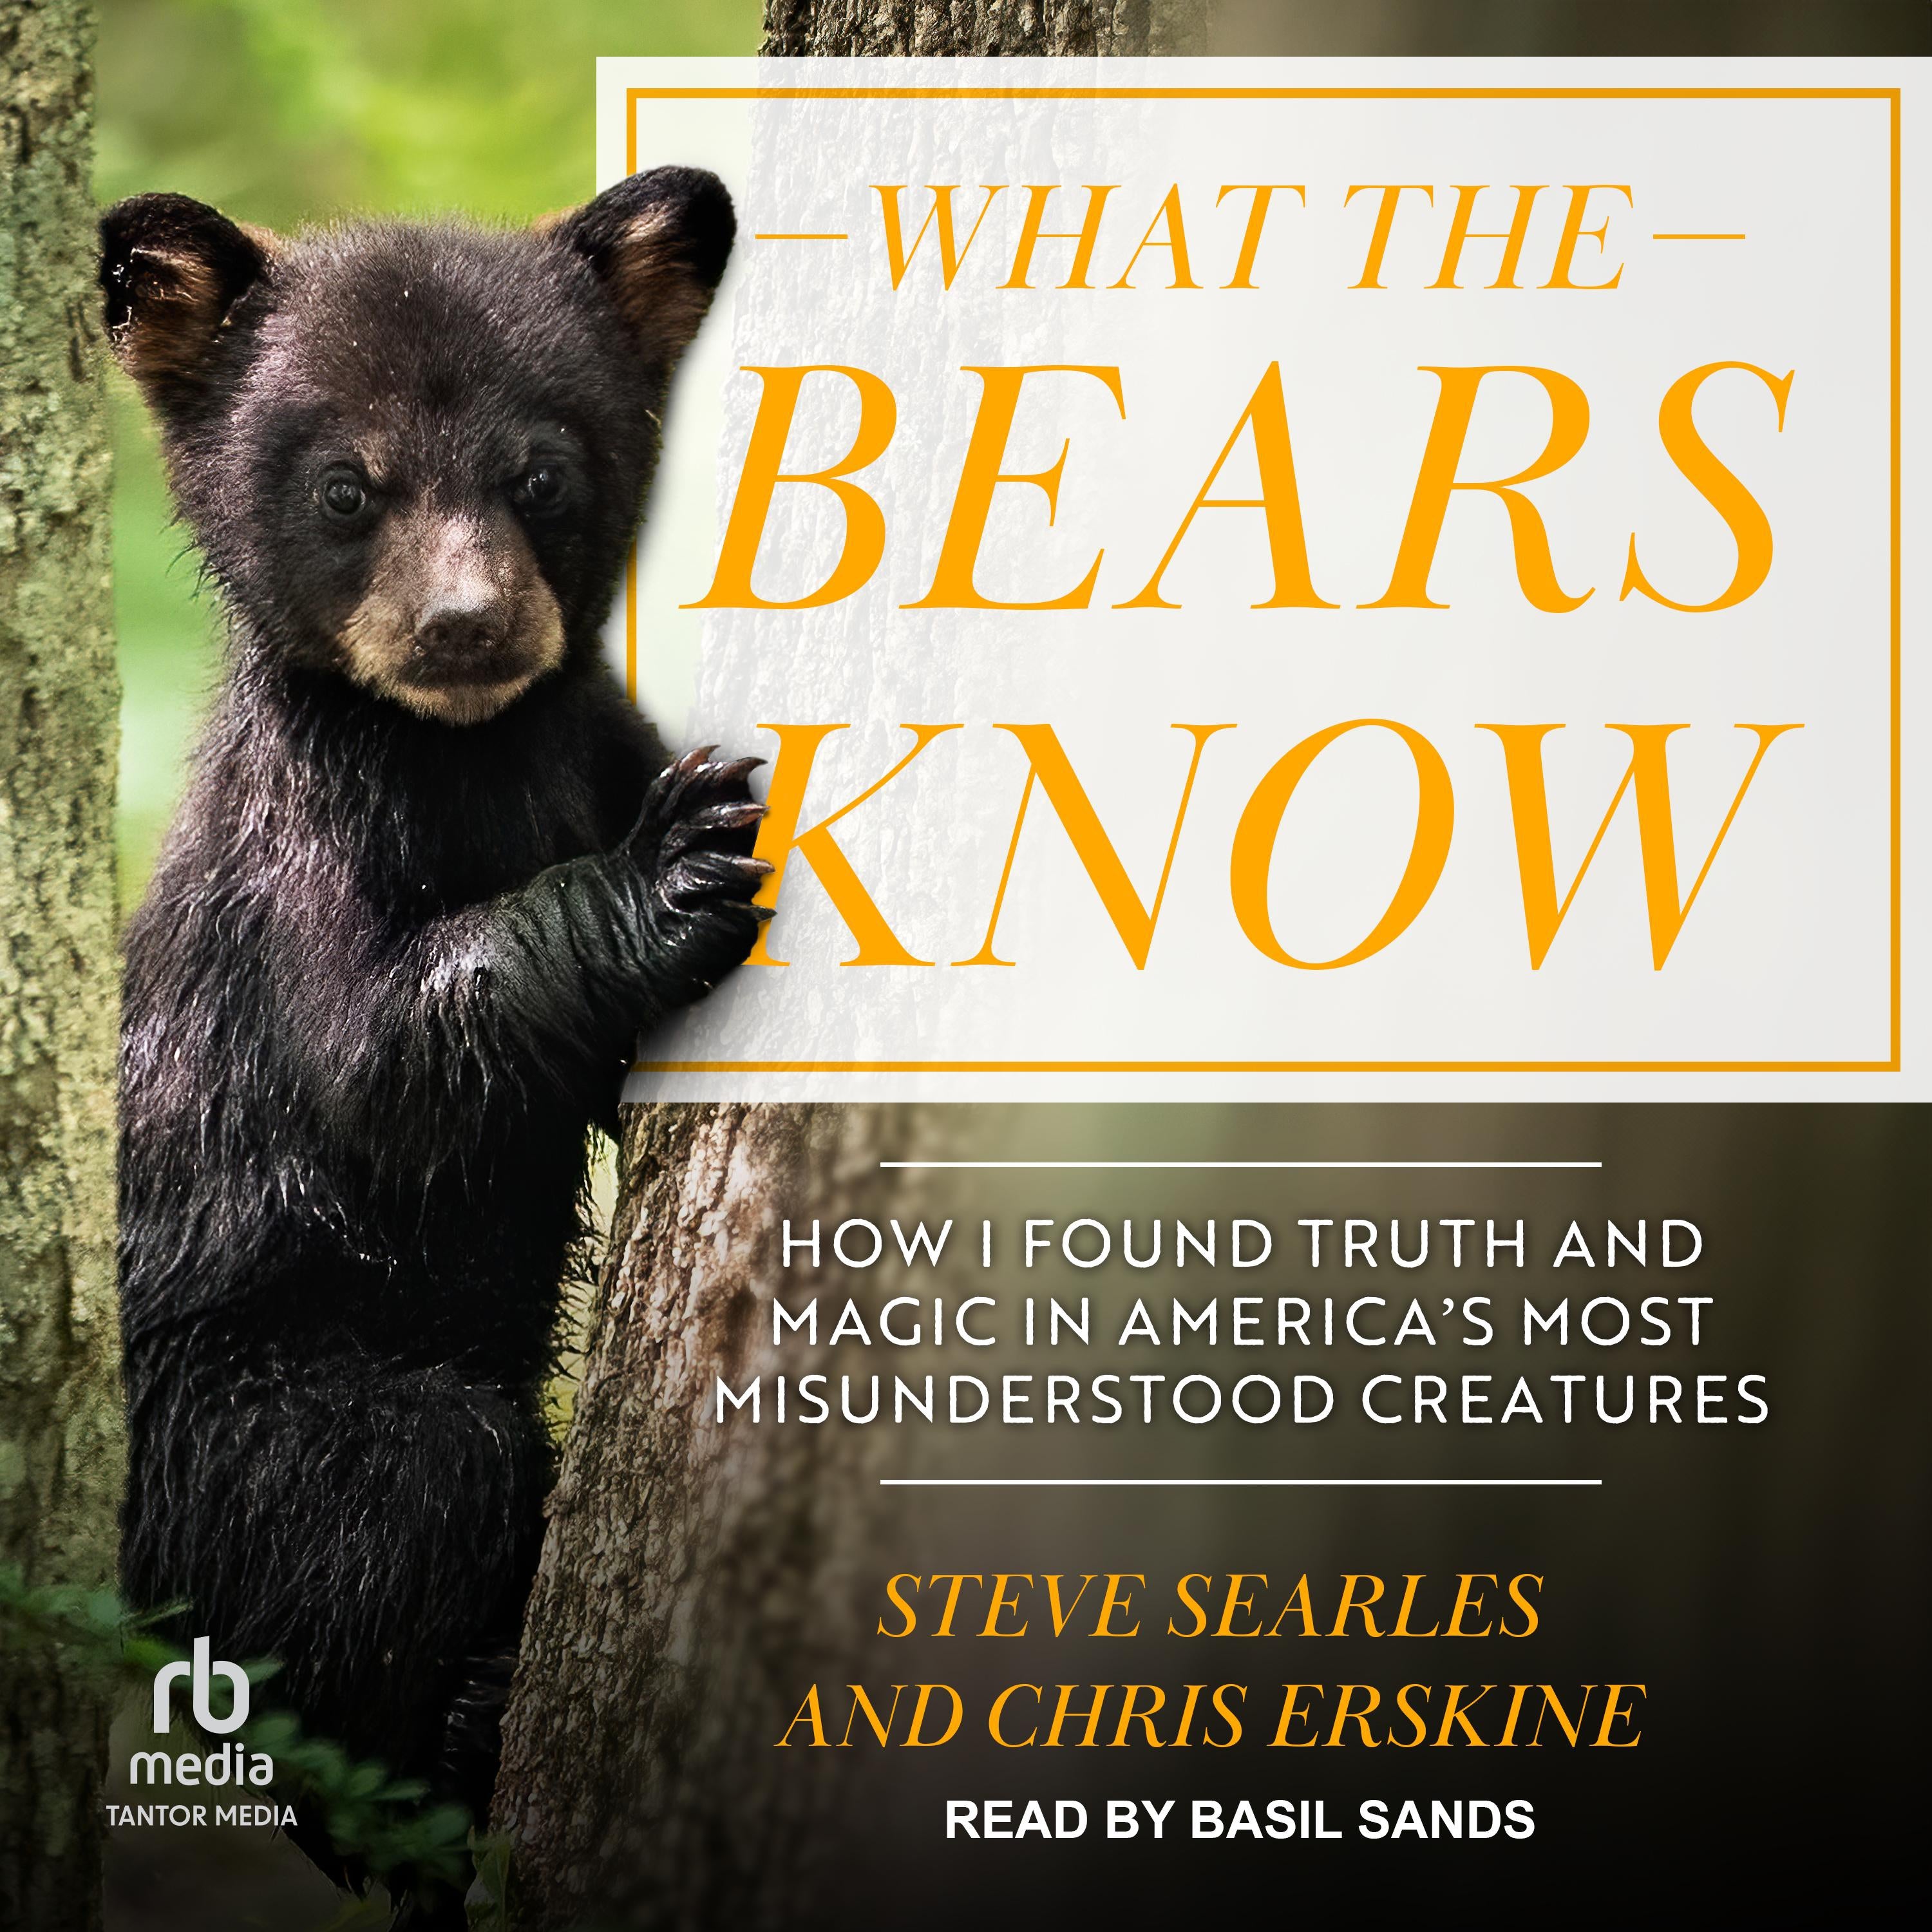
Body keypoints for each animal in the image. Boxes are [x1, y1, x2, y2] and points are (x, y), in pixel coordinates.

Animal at [103, 168, 759, 1923]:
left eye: (539, 468)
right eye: (348, 484)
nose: (465, 624)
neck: (469, 756)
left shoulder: (582, 732)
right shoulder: (303, 834)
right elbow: (378, 1056)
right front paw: (676, 870)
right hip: (227, 1428)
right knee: (405, 1490)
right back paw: (446, 1755)